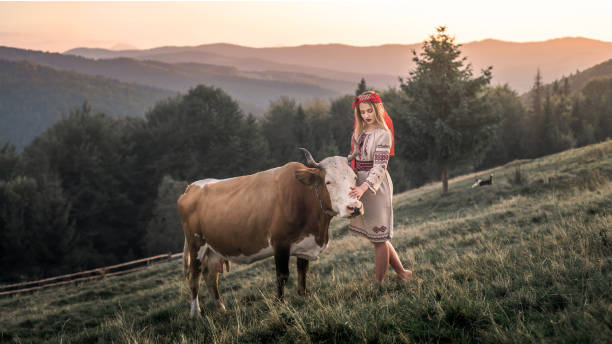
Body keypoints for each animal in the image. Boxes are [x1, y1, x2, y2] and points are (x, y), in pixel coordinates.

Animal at [177, 148, 360, 318]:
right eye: (328, 182)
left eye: (354, 178)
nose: (355, 207)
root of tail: (191, 187)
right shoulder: (280, 243)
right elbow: (282, 275)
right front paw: (279, 303)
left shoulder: (305, 243)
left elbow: (303, 272)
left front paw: (304, 296)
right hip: (196, 244)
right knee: (194, 277)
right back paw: (195, 313)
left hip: (213, 249)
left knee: (210, 276)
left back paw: (220, 308)